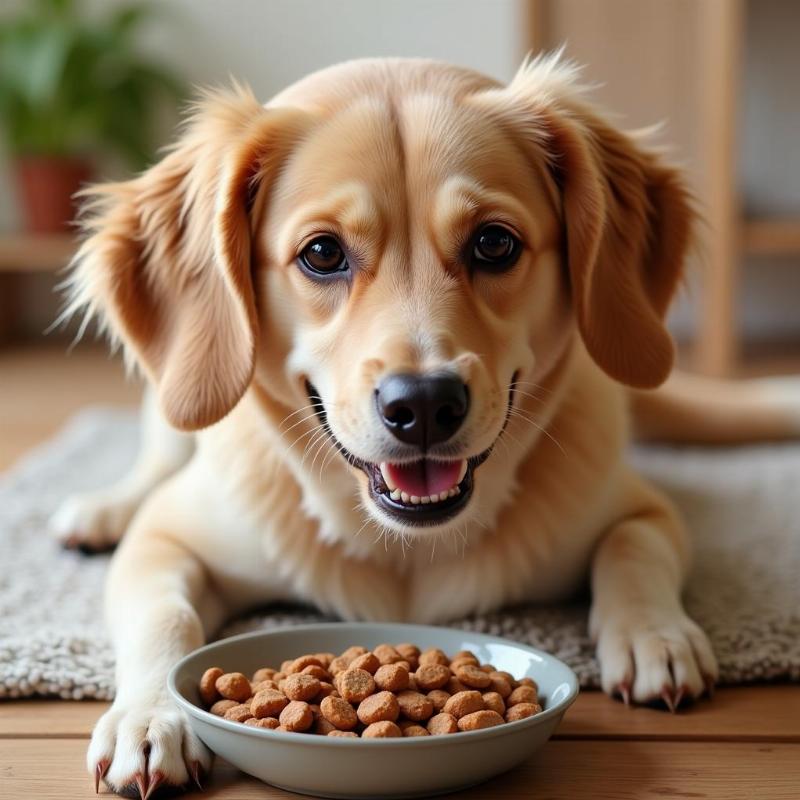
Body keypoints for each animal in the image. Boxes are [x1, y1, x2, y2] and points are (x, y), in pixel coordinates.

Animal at [50, 54, 800, 792]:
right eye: (322, 254)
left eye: (494, 243)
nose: (425, 404)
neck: (405, 547)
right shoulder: (165, 539)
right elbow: (164, 617)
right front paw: (153, 716)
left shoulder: (640, 508)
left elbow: (632, 550)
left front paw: (656, 636)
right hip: (175, 399)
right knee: (152, 464)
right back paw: (99, 511)